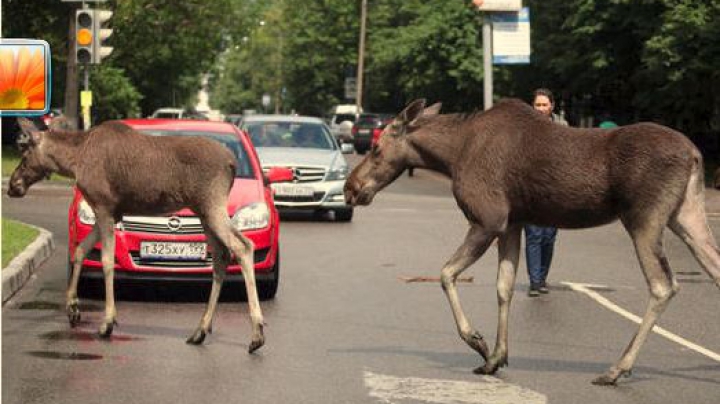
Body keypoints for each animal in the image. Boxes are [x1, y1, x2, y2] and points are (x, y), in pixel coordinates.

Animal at [7, 117, 266, 354]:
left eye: (25, 154)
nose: (12, 185)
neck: (74, 160)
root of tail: (232, 163)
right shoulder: (113, 213)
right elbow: (80, 250)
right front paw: (72, 308)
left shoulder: (103, 206)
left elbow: (106, 261)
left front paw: (107, 322)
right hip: (204, 211)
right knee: (222, 256)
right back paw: (200, 330)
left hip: (212, 204)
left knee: (244, 246)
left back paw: (256, 334)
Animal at [344, 98, 720, 386]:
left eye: (376, 147)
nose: (350, 188)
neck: (451, 155)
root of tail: (695, 154)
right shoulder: (513, 224)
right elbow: (504, 286)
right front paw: (496, 357)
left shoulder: (488, 219)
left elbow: (446, 273)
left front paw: (478, 342)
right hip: (686, 215)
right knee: (713, 268)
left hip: (644, 220)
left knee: (663, 284)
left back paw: (617, 369)